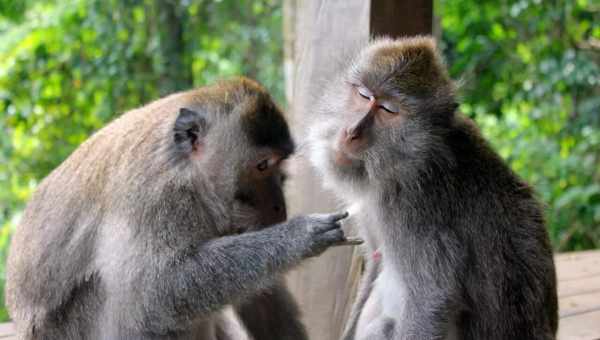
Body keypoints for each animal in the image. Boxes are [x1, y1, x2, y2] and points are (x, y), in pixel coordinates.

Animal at [7, 77, 358, 340]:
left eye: (280, 166)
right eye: (262, 166)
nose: (278, 205)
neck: (187, 172)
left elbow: (261, 289)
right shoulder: (154, 196)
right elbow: (153, 295)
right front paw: (302, 235)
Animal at [308, 37, 560, 340]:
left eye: (388, 110)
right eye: (364, 95)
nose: (352, 132)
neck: (410, 163)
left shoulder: (417, 209)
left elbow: (430, 301)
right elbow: (377, 261)